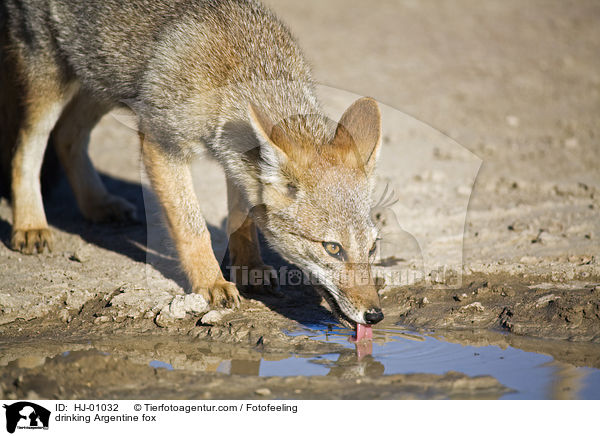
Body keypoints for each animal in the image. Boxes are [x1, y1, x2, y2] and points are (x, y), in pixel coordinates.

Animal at [0, 0, 384, 334]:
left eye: (373, 247)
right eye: (332, 248)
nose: (376, 315)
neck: (238, 70)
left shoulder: (234, 157)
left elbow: (241, 219)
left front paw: (250, 268)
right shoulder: (160, 143)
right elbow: (192, 227)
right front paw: (212, 282)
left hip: (104, 79)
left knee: (68, 136)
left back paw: (97, 203)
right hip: (52, 84)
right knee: (27, 148)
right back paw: (31, 225)